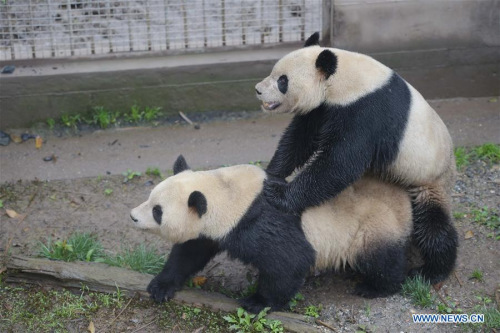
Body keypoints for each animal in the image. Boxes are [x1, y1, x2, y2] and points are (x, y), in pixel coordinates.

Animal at [130, 155, 414, 312]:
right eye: (149, 197)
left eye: (157, 211)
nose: (133, 216)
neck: (227, 191)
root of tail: (402, 201)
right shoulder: (211, 228)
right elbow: (189, 252)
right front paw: (161, 286)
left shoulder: (257, 221)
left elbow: (289, 259)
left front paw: (256, 302)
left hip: (371, 225)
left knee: (379, 259)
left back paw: (375, 287)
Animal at [256, 31, 458, 284]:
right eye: (274, 73)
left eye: (283, 81)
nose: (258, 89)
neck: (345, 80)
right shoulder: (323, 109)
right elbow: (299, 139)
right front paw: (272, 172)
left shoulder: (366, 113)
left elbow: (339, 163)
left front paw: (278, 193)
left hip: (430, 176)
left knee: (433, 224)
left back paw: (432, 271)